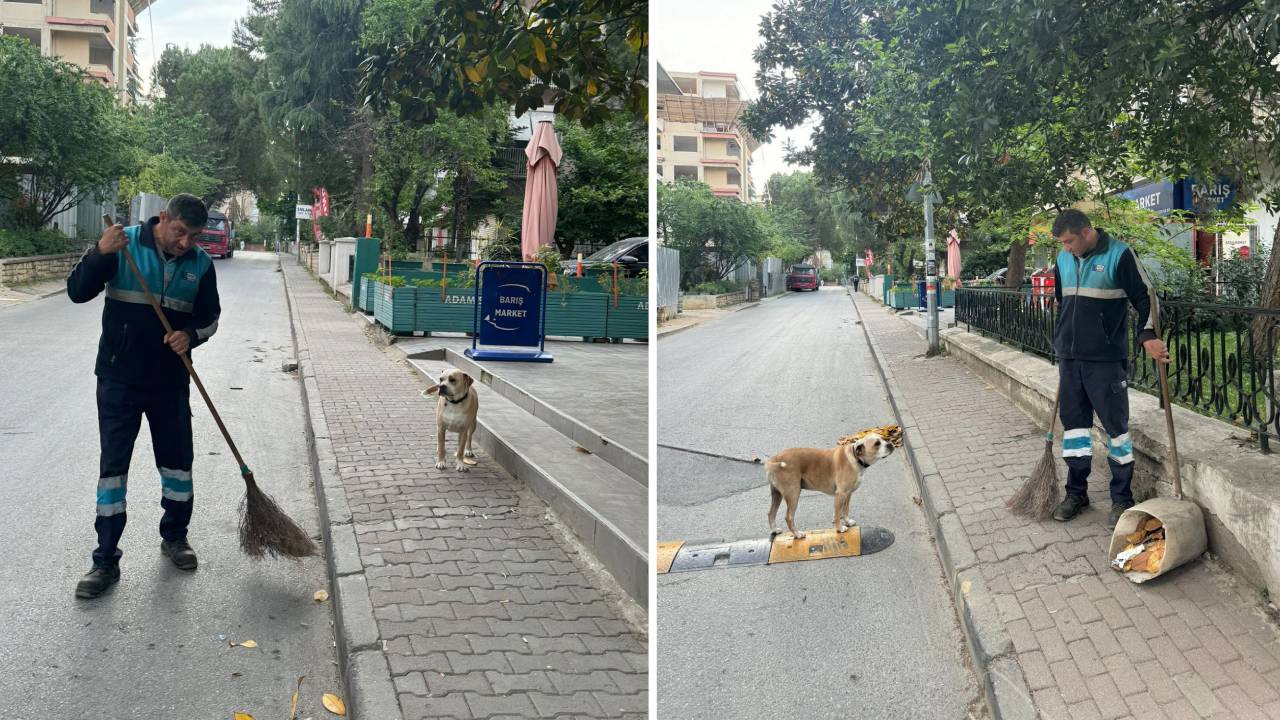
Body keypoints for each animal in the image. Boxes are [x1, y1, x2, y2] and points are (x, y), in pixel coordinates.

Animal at [762, 425, 896, 538]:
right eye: (877, 444)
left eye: (884, 439)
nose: (891, 444)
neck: (855, 457)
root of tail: (774, 459)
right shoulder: (840, 494)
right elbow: (838, 514)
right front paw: (840, 528)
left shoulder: (848, 494)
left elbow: (845, 510)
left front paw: (847, 521)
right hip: (793, 494)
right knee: (788, 517)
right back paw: (797, 534)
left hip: (777, 494)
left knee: (770, 513)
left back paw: (774, 530)